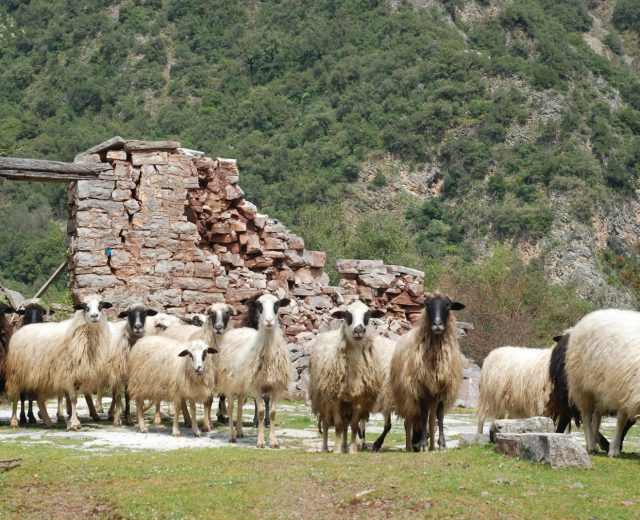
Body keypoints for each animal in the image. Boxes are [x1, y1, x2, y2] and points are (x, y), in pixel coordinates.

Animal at [6, 294, 112, 430]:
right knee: (17, 397)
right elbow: (73, 398)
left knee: (39, 399)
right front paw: (74, 423)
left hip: (41, 376)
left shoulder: (80, 372)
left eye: (101, 305)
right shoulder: (68, 373)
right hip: (17, 373)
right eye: (85, 306)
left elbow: (81, 396)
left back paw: (48, 422)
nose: (94, 316)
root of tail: (22, 329)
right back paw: (14, 421)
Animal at [217, 293, 291, 448]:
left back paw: (240, 432)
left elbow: (273, 413)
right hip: (230, 383)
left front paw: (274, 442)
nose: (269, 321)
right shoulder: (256, 386)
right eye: (258, 305)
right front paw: (261, 441)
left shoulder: (276, 386)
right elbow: (262, 412)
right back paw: (232, 435)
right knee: (231, 407)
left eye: (277, 305)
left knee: (239, 406)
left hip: (243, 386)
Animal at [308, 300, 385, 453]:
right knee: (326, 423)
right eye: (347, 315)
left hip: (347, 404)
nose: (359, 330)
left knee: (346, 425)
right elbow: (337, 424)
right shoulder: (335, 397)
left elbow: (354, 425)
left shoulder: (359, 398)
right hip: (323, 399)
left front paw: (353, 450)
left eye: (368, 315)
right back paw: (325, 447)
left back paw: (345, 446)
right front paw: (336, 451)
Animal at [388, 291, 464, 452]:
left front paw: (441, 444)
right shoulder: (420, 388)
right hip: (407, 396)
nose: (437, 324)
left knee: (430, 419)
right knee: (409, 421)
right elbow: (423, 415)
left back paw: (431, 446)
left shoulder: (443, 388)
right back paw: (409, 447)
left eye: (448, 305)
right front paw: (423, 444)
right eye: (427, 305)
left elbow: (439, 416)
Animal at [561, 310, 640, 456]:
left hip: (600, 389)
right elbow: (621, 422)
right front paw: (614, 450)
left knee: (596, 417)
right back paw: (591, 446)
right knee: (586, 417)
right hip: (582, 387)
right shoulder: (622, 389)